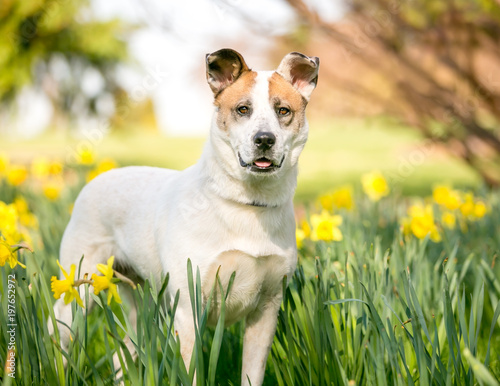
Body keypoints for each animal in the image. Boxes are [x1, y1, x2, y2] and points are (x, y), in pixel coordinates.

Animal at [49, 49, 316, 384]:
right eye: (243, 109)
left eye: (283, 111)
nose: (264, 139)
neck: (247, 204)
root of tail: (97, 178)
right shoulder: (189, 309)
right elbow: (192, 372)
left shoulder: (267, 308)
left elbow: (252, 373)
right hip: (78, 286)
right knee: (60, 330)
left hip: (141, 302)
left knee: (125, 349)